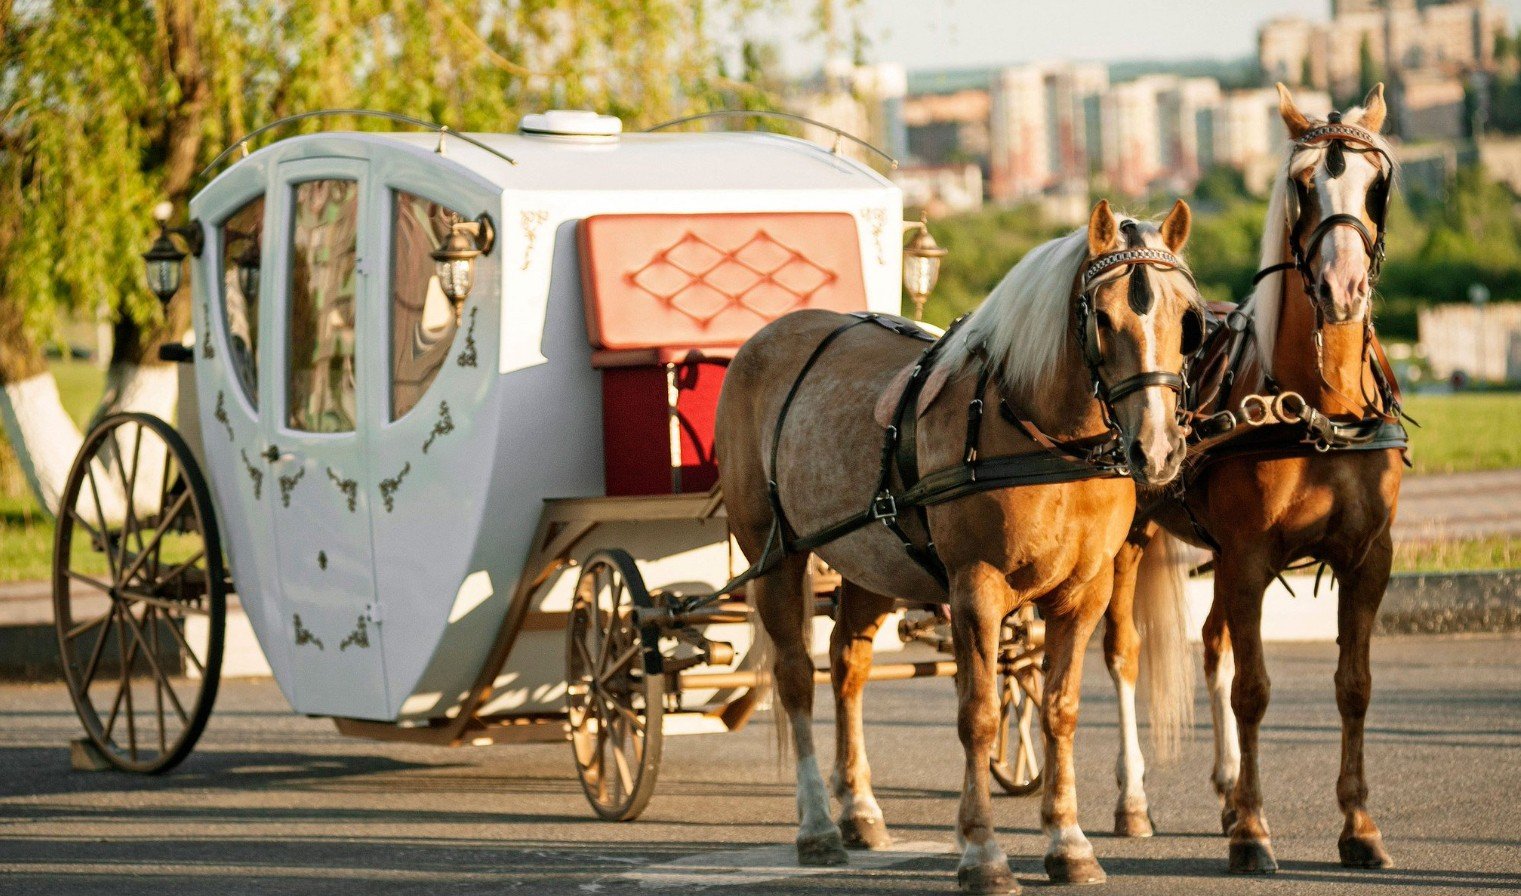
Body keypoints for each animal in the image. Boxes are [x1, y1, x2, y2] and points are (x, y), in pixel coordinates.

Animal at [717, 202, 1204, 894]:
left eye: (1188, 321)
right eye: (1103, 319)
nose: (1157, 450)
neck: (1044, 440)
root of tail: (768, 337)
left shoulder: (1083, 593)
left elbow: (1061, 710)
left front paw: (1069, 841)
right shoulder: (977, 588)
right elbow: (979, 714)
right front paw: (982, 852)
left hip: (871, 560)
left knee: (848, 666)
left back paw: (859, 810)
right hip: (775, 553)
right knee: (795, 676)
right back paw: (816, 825)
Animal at [1101, 83, 1405, 876]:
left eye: (1376, 184)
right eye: (1302, 185)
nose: (1341, 287)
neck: (1321, 408)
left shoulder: (1368, 558)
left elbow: (1354, 686)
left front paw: (1358, 825)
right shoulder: (1246, 558)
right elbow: (1254, 690)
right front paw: (1252, 833)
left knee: (1211, 643)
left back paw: (1227, 786)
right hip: (1128, 543)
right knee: (1125, 654)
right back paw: (1134, 799)